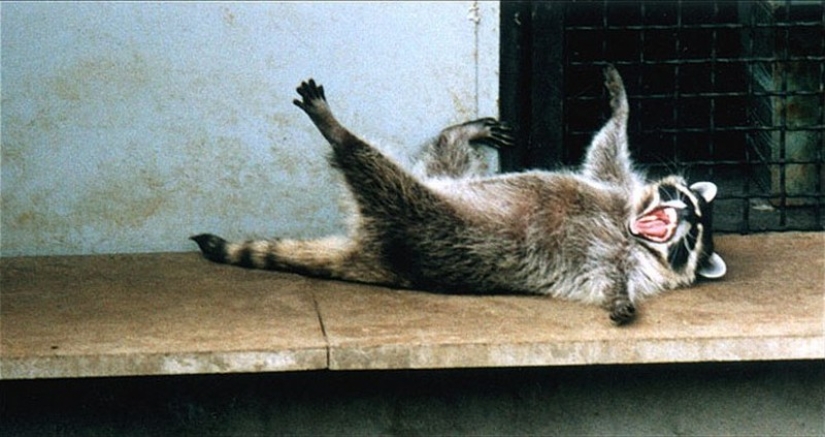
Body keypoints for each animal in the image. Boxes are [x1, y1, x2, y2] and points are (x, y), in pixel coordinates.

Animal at [192, 65, 727, 325]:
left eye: (690, 239)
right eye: (683, 199)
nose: (684, 213)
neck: (627, 227)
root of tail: (372, 253)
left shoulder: (619, 258)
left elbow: (606, 277)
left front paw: (619, 298)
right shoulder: (613, 184)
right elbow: (606, 146)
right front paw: (620, 102)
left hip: (424, 221)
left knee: (382, 175)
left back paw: (341, 136)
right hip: (443, 190)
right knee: (440, 156)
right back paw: (452, 132)